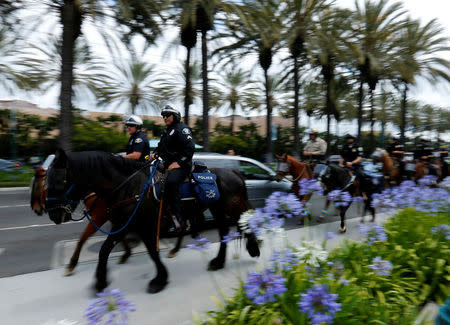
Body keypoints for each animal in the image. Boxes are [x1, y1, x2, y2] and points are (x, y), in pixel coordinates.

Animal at [45, 149, 260, 294]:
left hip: (231, 208)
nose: (53, 214)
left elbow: (145, 251)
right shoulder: (129, 224)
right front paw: (101, 282)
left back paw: (252, 249)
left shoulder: (135, 225)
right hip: (217, 209)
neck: (128, 186)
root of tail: (234, 173)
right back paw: (218, 261)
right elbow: (110, 250)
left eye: (58, 182)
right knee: (223, 232)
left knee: (242, 224)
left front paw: (158, 280)